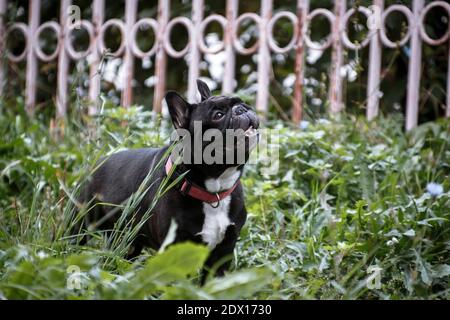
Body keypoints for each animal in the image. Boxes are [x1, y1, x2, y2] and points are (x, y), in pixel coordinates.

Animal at [79, 80, 258, 278]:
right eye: (218, 115)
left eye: (242, 102)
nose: (242, 109)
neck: (213, 191)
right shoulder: (176, 247)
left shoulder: (222, 252)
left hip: (127, 241)